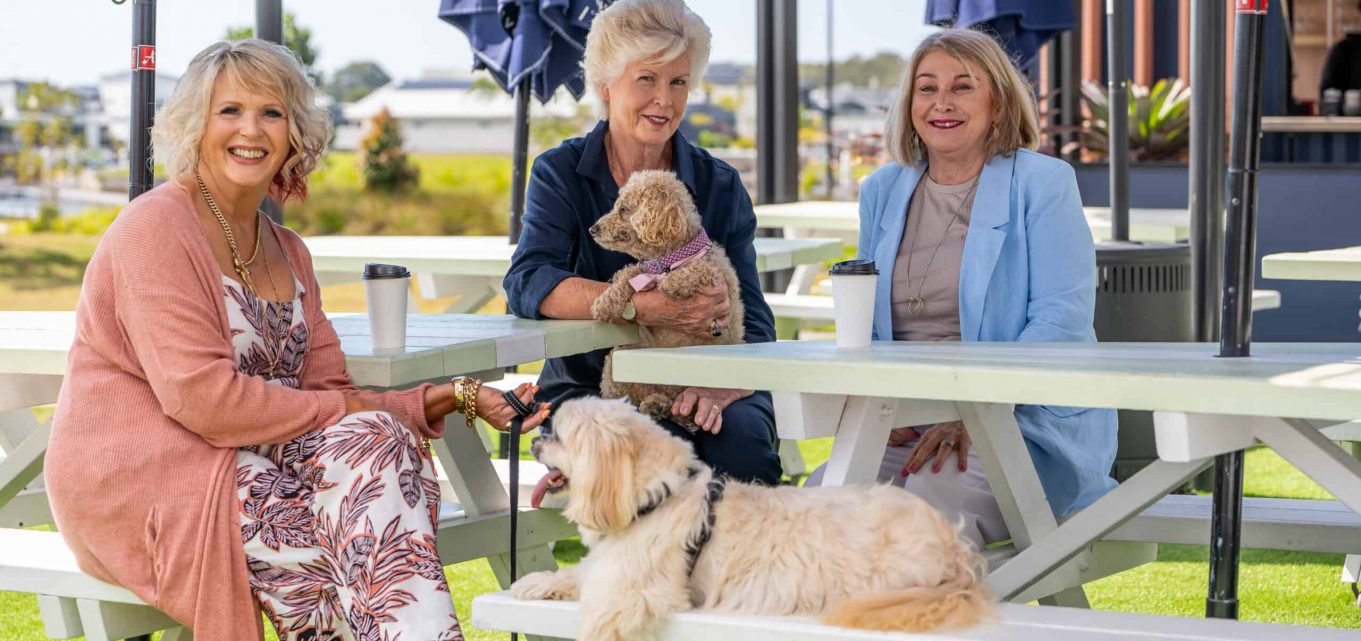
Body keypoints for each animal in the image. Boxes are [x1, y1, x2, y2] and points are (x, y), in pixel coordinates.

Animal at [514, 397, 996, 641]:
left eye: (558, 435)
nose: (534, 438)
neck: (662, 495)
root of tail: (957, 550)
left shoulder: (626, 596)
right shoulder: (612, 567)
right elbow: (578, 572)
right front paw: (539, 582)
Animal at [587, 172, 745, 430]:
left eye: (623, 209)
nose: (593, 229)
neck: (666, 260)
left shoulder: (716, 277)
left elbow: (697, 269)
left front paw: (671, 283)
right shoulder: (643, 269)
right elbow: (626, 275)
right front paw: (605, 302)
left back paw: (677, 413)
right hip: (616, 363)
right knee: (642, 398)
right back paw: (656, 405)